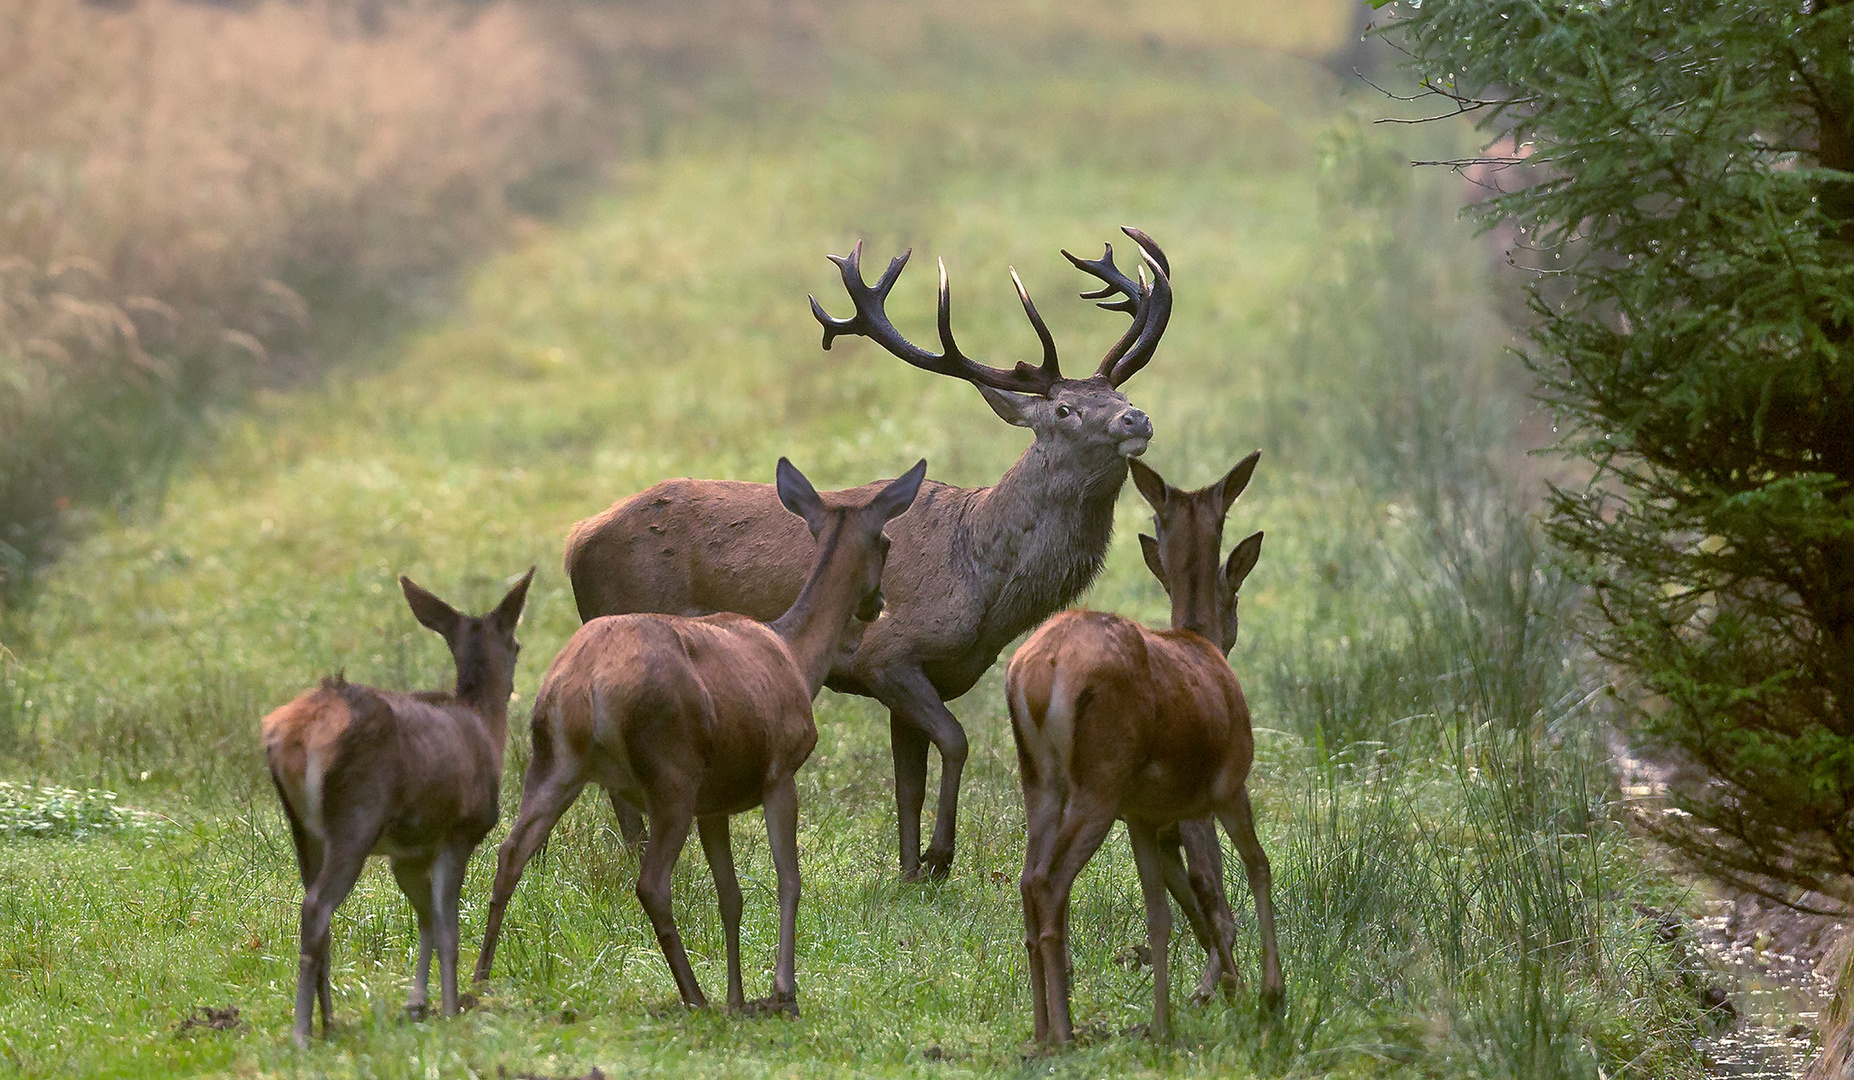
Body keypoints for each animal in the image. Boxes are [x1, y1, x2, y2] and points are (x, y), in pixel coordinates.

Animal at [257, 570, 530, 1052]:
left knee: (317, 914)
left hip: (302, 827)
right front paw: (450, 1009)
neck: (484, 728)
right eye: (515, 644)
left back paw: (329, 1020)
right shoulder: (460, 832)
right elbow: (447, 927)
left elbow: (425, 919)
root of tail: (296, 733)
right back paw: (302, 1031)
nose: (516, 683)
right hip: (356, 815)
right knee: (316, 906)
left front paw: (417, 1003)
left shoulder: (409, 854)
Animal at [470, 455, 919, 1015]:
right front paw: (782, 993)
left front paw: (739, 998)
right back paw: (693, 995)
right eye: (888, 541)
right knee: (651, 883)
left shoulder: (715, 801)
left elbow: (731, 895)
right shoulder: (780, 770)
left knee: (510, 852)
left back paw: (477, 982)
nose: (877, 603)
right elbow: (788, 881)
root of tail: (587, 683)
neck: (795, 657)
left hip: (554, 761)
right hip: (671, 769)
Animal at [563, 230, 1171, 889]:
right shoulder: (889, 653)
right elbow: (956, 742)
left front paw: (909, 873)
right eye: (1064, 410)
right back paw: (637, 857)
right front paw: (938, 858)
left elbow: (908, 783)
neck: (982, 580)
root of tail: (575, 542)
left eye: (1120, 392)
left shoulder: (924, 675)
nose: (1137, 417)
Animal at [1008, 452, 1282, 1044]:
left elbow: (1171, 909)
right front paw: (1261, 992)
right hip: (1099, 783)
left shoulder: (1147, 815)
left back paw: (1043, 1030)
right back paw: (1064, 1032)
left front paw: (1189, 1006)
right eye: (1235, 595)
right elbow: (1246, 870)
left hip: (1041, 782)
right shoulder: (1225, 785)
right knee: (1050, 882)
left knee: (1027, 880)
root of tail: (1041, 672)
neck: (1200, 644)